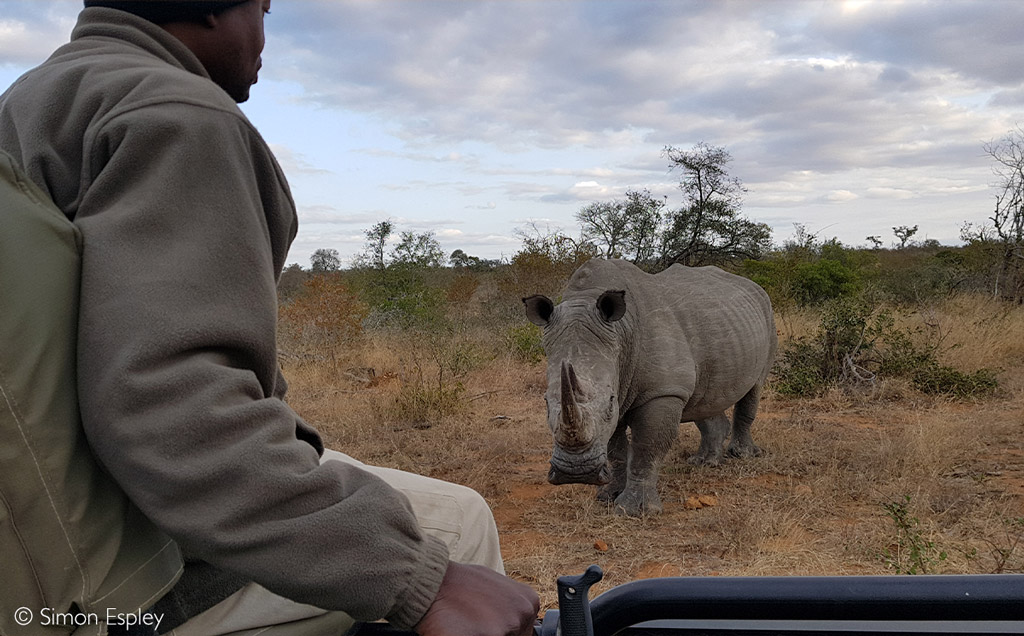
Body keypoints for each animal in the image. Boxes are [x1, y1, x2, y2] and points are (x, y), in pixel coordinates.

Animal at [520, 259, 774, 516]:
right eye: (546, 403)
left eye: (610, 402)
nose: (576, 472)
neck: (621, 332)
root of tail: (753, 286)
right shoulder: (623, 384)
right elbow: (615, 449)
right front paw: (608, 496)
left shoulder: (661, 391)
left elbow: (646, 447)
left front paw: (634, 511)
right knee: (705, 397)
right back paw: (704, 462)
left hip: (767, 313)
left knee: (754, 389)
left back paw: (742, 455)